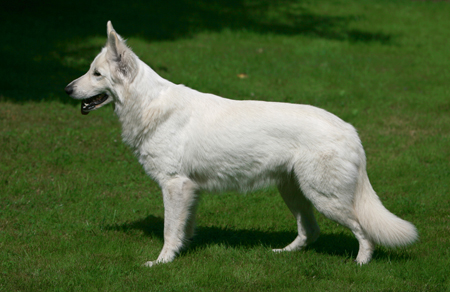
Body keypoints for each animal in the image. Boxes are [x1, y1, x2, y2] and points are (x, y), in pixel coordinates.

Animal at [65, 21, 416, 266]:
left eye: (96, 74)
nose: (67, 89)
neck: (149, 105)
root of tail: (350, 130)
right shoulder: (189, 190)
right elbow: (182, 229)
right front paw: (181, 252)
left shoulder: (174, 185)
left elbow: (168, 230)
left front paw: (161, 262)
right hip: (294, 192)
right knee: (309, 231)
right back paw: (283, 253)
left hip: (325, 198)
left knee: (362, 231)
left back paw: (360, 263)